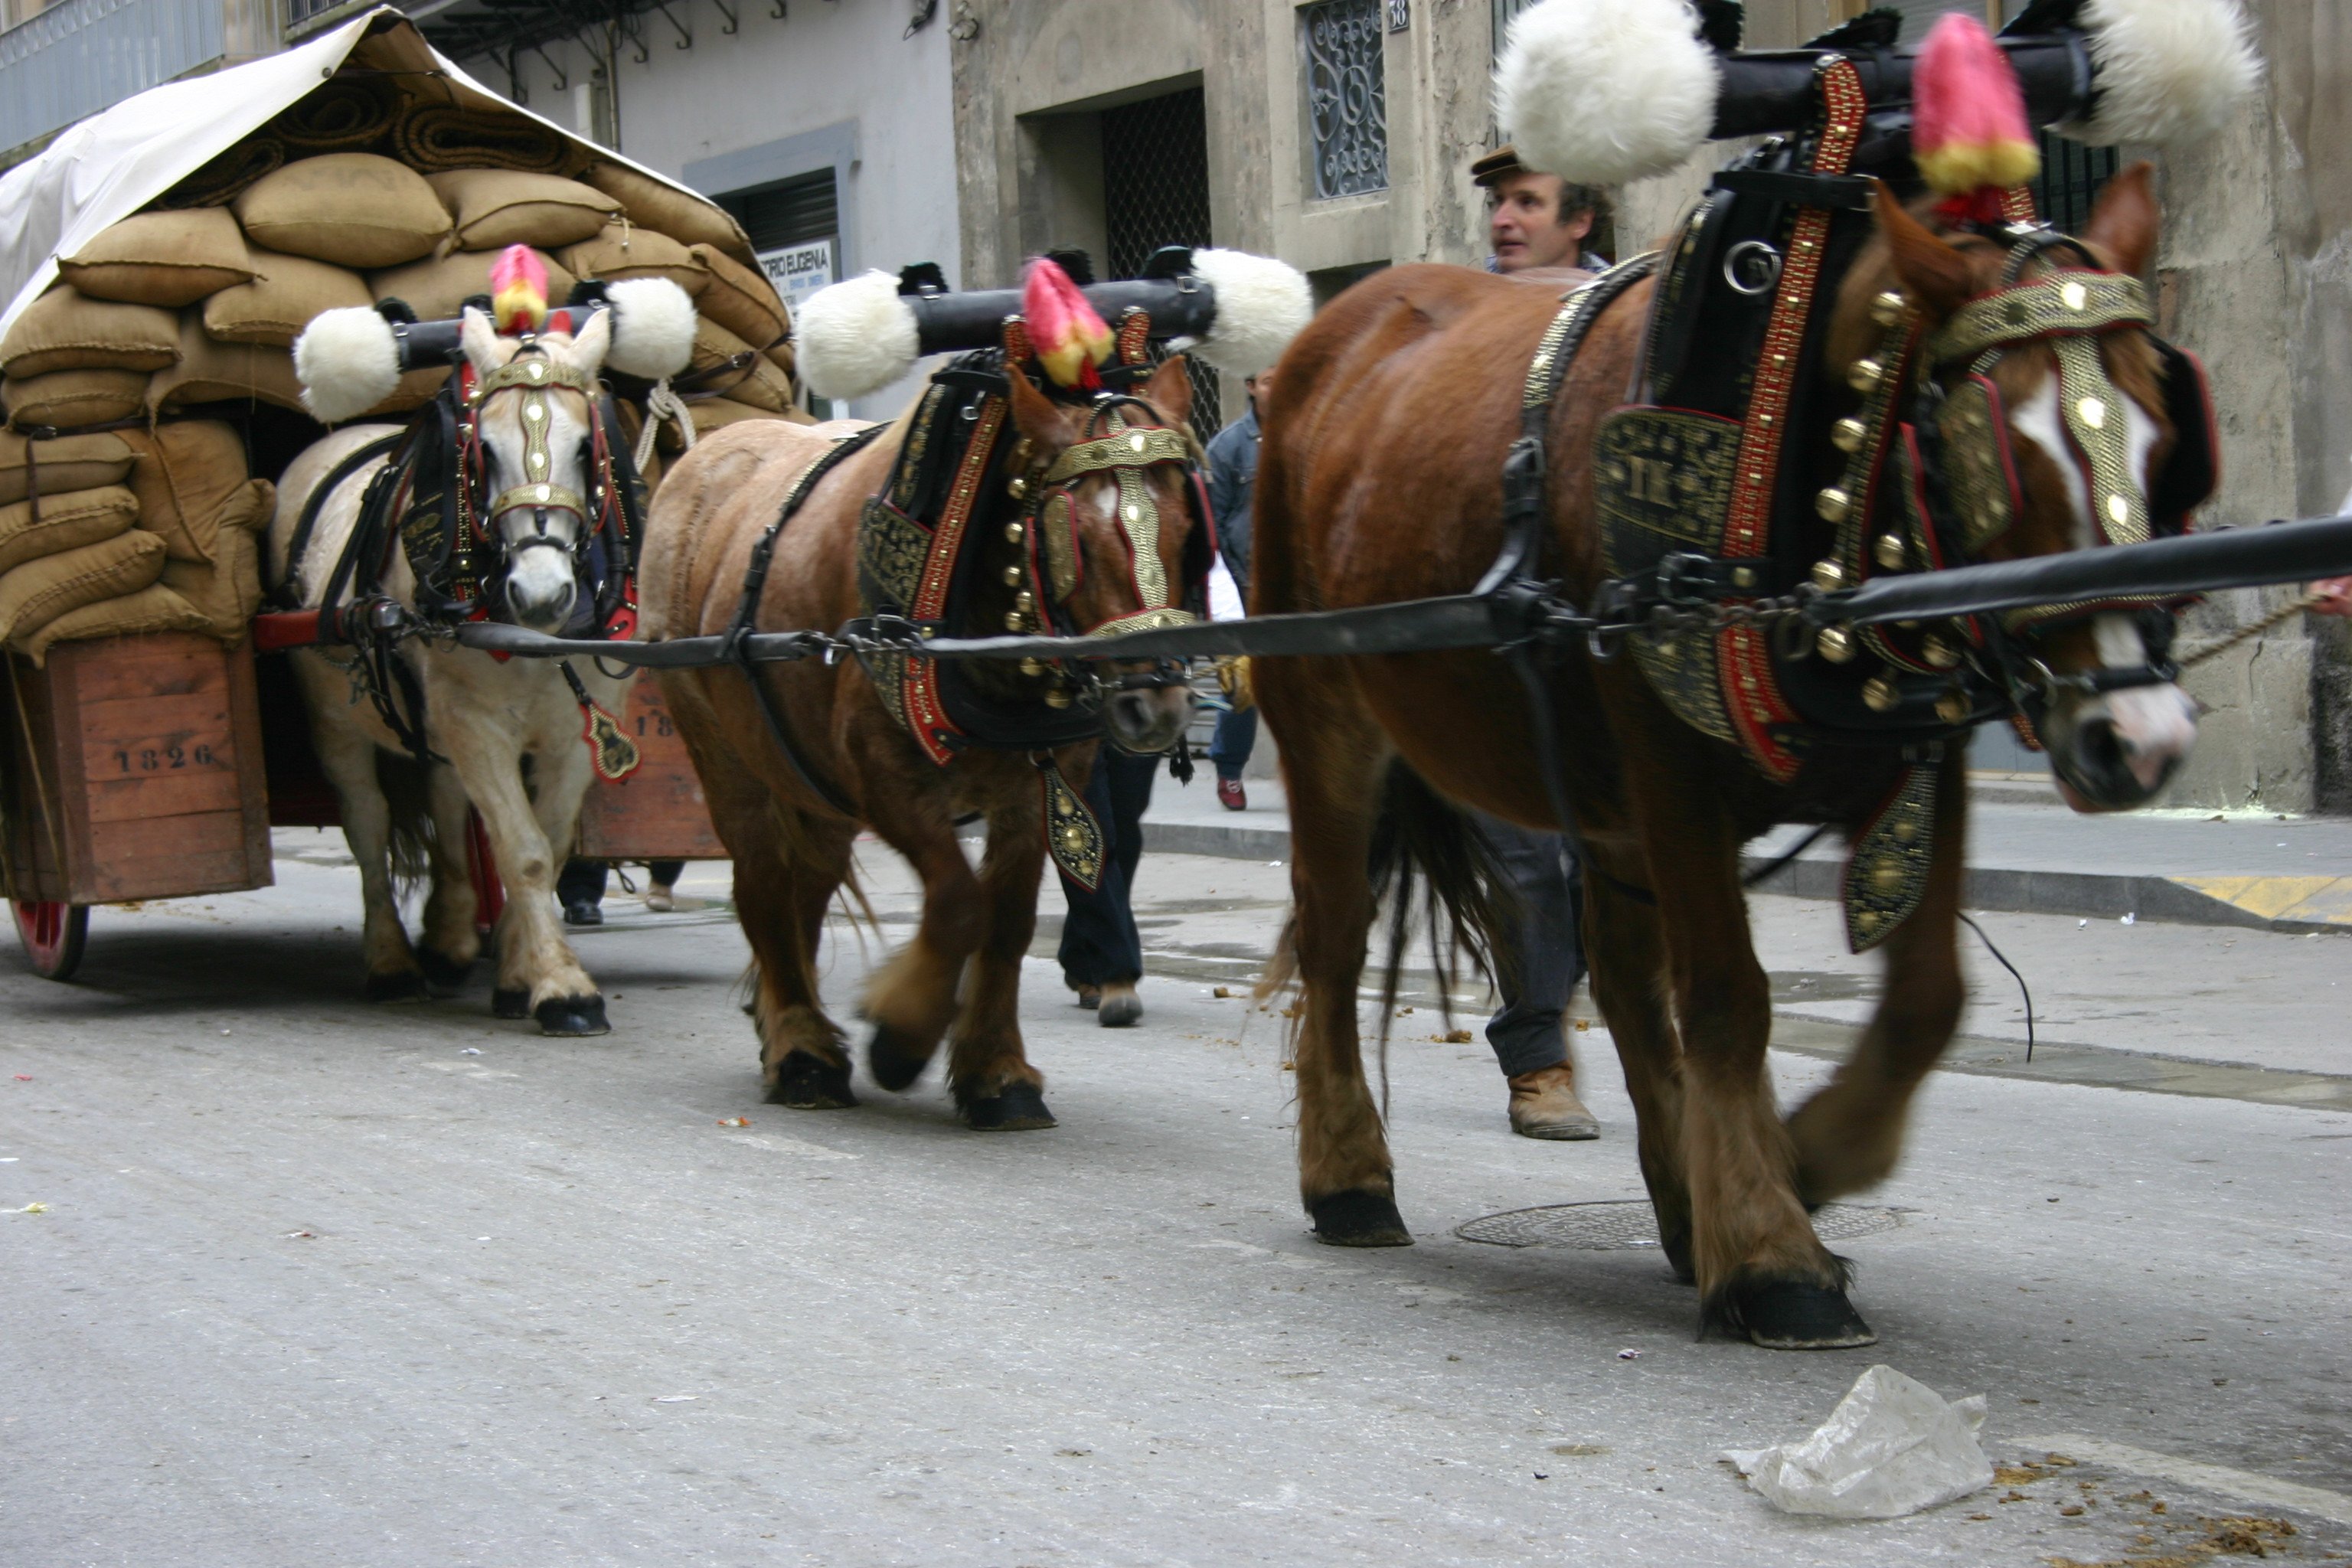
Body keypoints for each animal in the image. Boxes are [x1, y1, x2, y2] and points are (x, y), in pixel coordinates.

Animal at [639, 359, 1204, 1128]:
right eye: (1076, 536)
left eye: (1185, 524)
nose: (1159, 706)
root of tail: (701, 460)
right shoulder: (883, 778)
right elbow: (961, 905)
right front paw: (901, 1038)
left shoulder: (1040, 787)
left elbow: (1008, 923)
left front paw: (997, 1074)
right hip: (724, 756)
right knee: (760, 886)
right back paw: (803, 1052)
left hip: (809, 782)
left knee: (806, 885)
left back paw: (786, 1023)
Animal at [1260, 169, 2192, 1354]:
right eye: (2002, 454)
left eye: (2163, 431)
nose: (2139, 739)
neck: (1785, 433)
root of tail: (1329, 335)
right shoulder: (1674, 777)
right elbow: (1726, 999)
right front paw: (1774, 1250)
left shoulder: (1919, 763)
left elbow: (1926, 998)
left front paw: (1813, 1159)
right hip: (1325, 715)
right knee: (1334, 933)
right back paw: (1349, 1177)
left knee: (1618, 973)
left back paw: (1676, 1201)